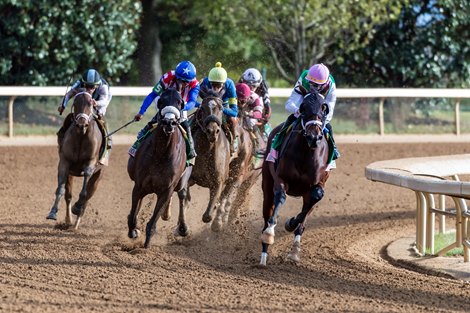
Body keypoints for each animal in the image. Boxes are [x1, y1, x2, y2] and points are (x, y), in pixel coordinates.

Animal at [46, 90, 104, 229]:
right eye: (75, 103)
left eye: (91, 103)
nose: (82, 123)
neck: (81, 136)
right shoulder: (65, 163)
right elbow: (61, 190)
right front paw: (53, 212)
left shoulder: (91, 163)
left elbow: (84, 192)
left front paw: (77, 208)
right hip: (71, 173)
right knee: (69, 196)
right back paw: (69, 220)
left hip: (98, 174)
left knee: (88, 197)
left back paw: (76, 222)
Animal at [126, 86, 191, 247]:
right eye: (161, 100)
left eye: (180, 102)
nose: (169, 122)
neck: (161, 154)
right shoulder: (139, 185)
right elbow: (133, 216)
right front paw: (134, 232)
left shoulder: (166, 191)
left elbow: (152, 223)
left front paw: (145, 247)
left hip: (181, 182)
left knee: (182, 195)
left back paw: (181, 227)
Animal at [258, 89, 328, 264]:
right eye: (302, 107)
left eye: (324, 107)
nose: (313, 137)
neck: (306, 151)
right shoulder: (281, 179)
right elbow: (281, 197)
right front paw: (269, 234)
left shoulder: (317, 184)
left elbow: (314, 199)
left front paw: (291, 224)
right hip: (267, 184)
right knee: (267, 213)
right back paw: (264, 254)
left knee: (309, 207)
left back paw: (295, 250)